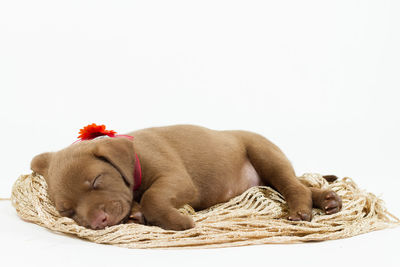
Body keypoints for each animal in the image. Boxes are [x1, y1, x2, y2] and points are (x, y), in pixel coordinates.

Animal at [30, 124, 340, 231]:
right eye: (67, 211)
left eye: (96, 181)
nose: (98, 222)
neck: (133, 160)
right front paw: (136, 214)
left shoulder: (177, 180)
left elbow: (153, 197)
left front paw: (177, 222)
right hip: (268, 175)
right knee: (299, 183)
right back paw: (327, 199)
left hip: (265, 154)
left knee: (292, 185)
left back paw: (302, 209)